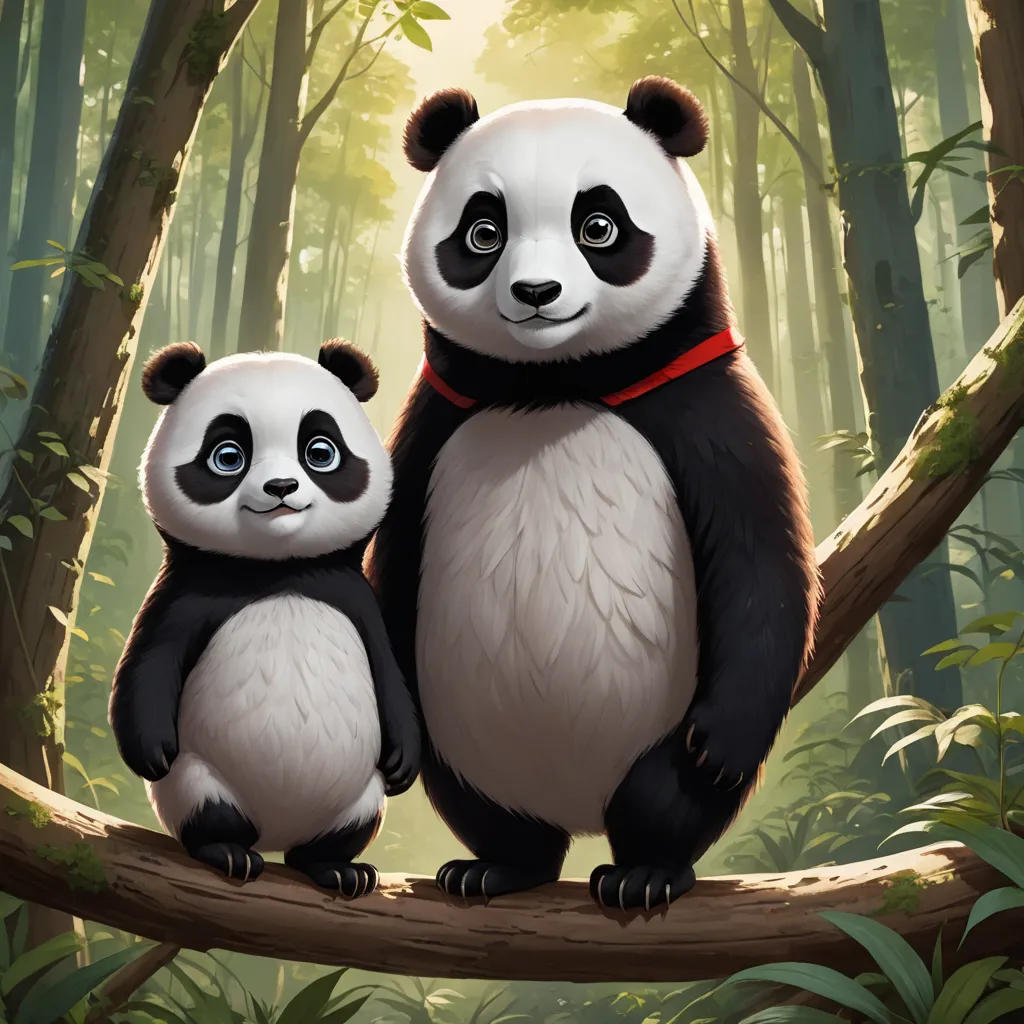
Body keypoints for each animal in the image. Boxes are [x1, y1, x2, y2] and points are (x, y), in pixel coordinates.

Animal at [110, 340, 420, 897]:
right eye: (228, 456)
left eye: (320, 451)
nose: (281, 487)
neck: (278, 570)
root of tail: (277, 834)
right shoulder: (187, 595)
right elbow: (150, 659)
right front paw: (149, 750)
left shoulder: (356, 598)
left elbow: (390, 670)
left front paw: (405, 760)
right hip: (198, 780)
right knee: (209, 813)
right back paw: (229, 852)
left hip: (360, 796)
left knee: (341, 832)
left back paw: (338, 868)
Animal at [367, 77, 819, 911]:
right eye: (484, 232)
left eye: (599, 226)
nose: (536, 292)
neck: (554, 385)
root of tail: (573, 808)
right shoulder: (430, 424)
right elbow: (389, 568)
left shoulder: (708, 410)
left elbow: (759, 561)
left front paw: (722, 744)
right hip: (461, 735)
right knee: (484, 805)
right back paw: (496, 866)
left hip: (656, 736)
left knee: (666, 798)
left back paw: (644, 872)